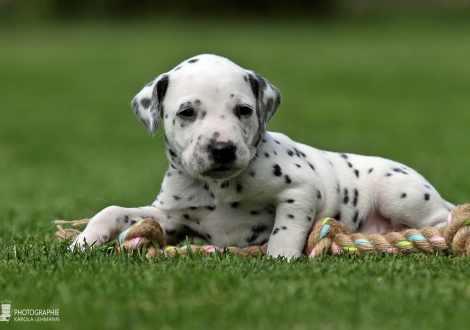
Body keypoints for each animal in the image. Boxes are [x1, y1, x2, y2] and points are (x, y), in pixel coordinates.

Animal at [72, 54, 452, 260]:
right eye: (186, 112)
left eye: (244, 110)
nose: (222, 149)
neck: (217, 188)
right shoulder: (172, 219)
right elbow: (114, 210)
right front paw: (85, 239)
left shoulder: (300, 191)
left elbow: (286, 230)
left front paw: (280, 259)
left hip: (400, 195)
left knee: (439, 220)